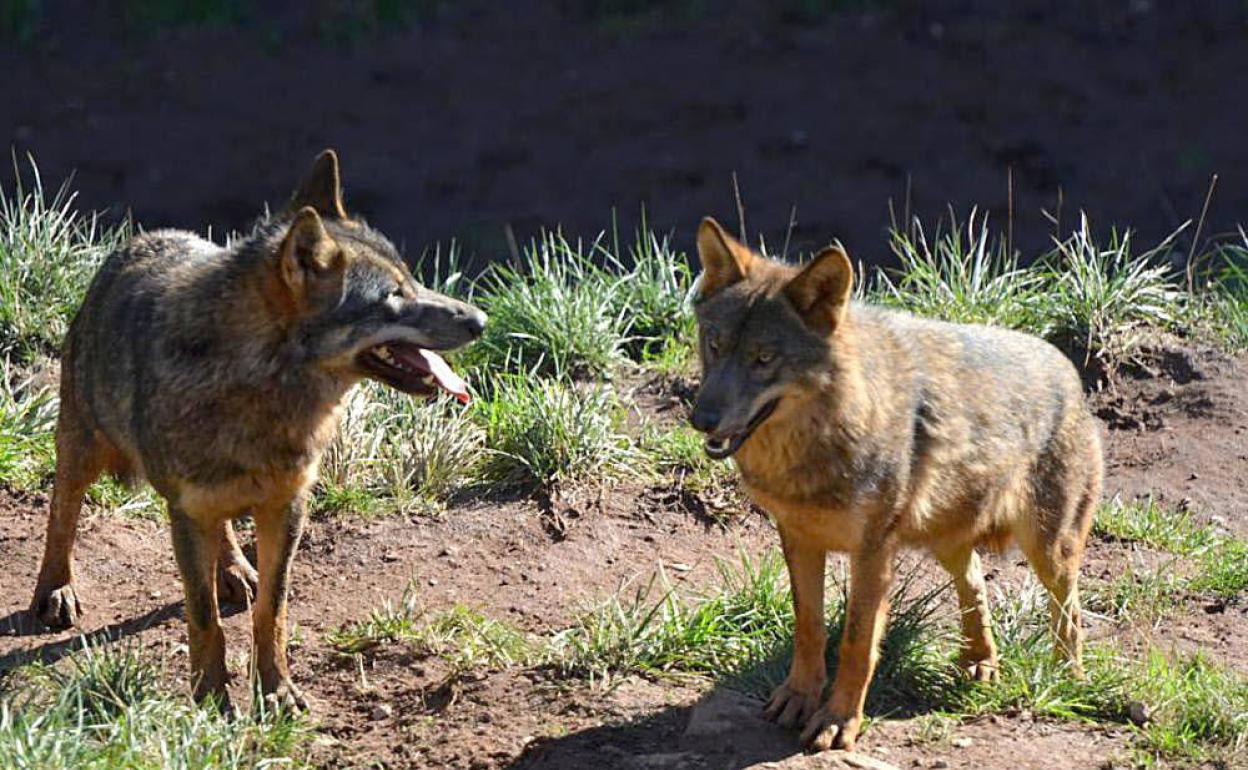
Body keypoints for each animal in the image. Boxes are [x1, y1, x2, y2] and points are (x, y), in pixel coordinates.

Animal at [29, 150, 486, 708]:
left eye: (414, 280)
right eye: (393, 298)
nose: (481, 320)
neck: (261, 391)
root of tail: (141, 239)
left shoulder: (286, 506)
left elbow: (273, 609)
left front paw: (277, 691)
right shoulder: (186, 511)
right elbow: (203, 617)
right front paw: (210, 699)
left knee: (224, 534)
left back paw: (233, 571)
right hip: (82, 449)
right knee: (61, 514)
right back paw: (55, 590)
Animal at [688, 215, 1108, 748]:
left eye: (764, 359)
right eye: (715, 345)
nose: (701, 419)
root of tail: (1066, 366)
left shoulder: (872, 553)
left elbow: (856, 642)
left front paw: (838, 720)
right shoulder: (799, 538)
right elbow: (809, 626)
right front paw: (798, 697)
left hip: (1049, 551)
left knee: (1069, 612)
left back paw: (1066, 678)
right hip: (948, 540)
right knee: (975, 584)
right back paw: (980, 663)